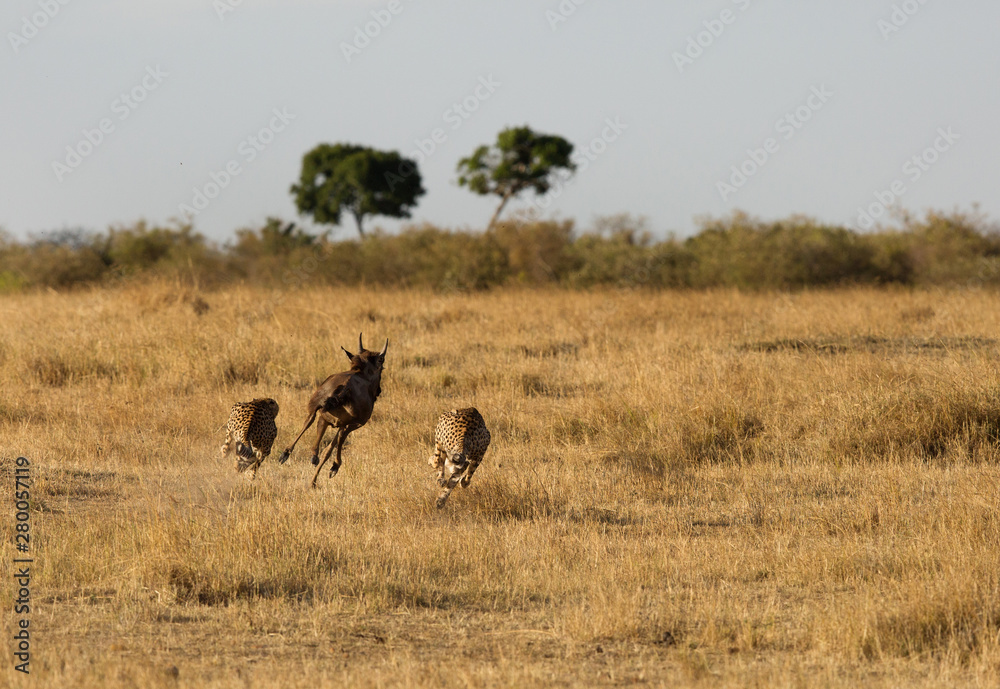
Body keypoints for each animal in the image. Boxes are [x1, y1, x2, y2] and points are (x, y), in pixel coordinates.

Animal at [278, 333, 387, 487]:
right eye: (381, 368)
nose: (378, 391)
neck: (361, 374)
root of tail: (343, 389)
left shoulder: (327, 418)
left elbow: (324, 446)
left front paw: (313, 474)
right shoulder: (350, 424)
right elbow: (331, 448)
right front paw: (330, 469)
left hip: (317, 407)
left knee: (309, 420)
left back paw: (289, 454)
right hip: (352, 424)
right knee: (339, 437)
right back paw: (333, 466)